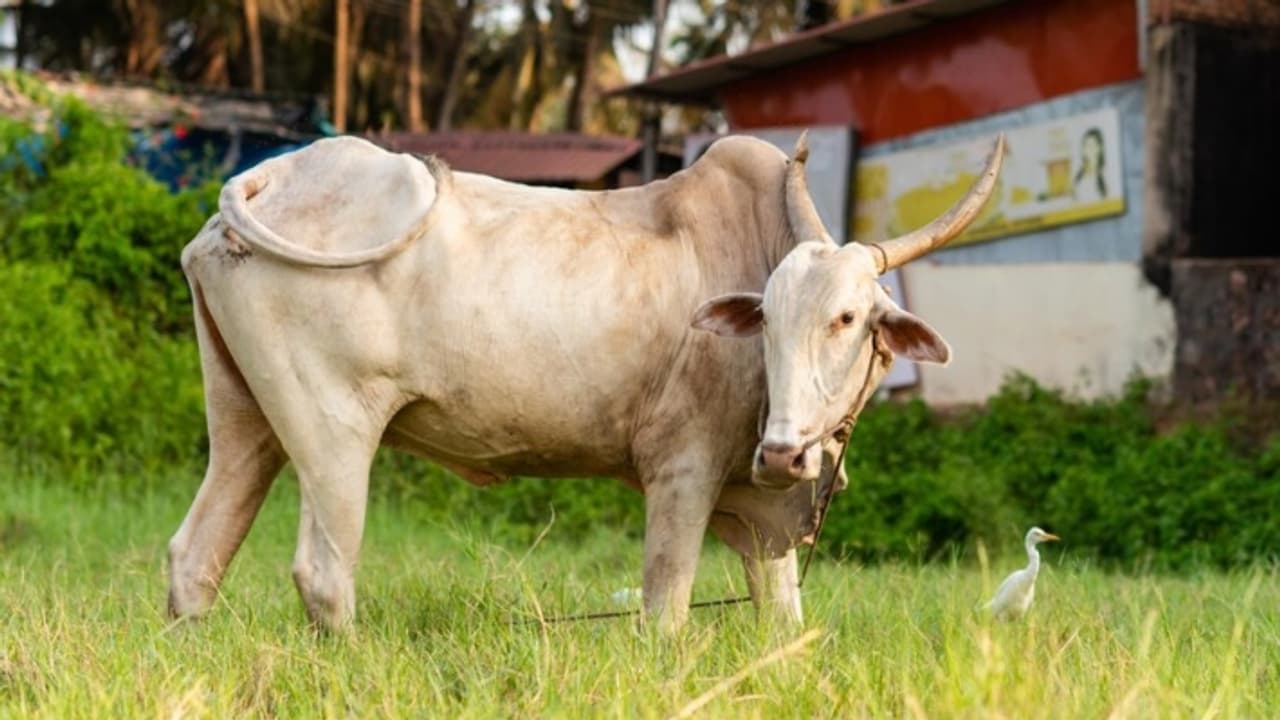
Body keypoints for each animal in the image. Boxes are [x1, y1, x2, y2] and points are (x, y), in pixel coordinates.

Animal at [167, 131, 1003, 633]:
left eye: (848, 318)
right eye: (765, 318)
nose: (781, 454)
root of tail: (274, 173)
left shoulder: (763, 512)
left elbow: (782, 619)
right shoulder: (682, 470)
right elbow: (665, 609)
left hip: (248, 421)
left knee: (195, 556)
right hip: (336, 430)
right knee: (323, 574)